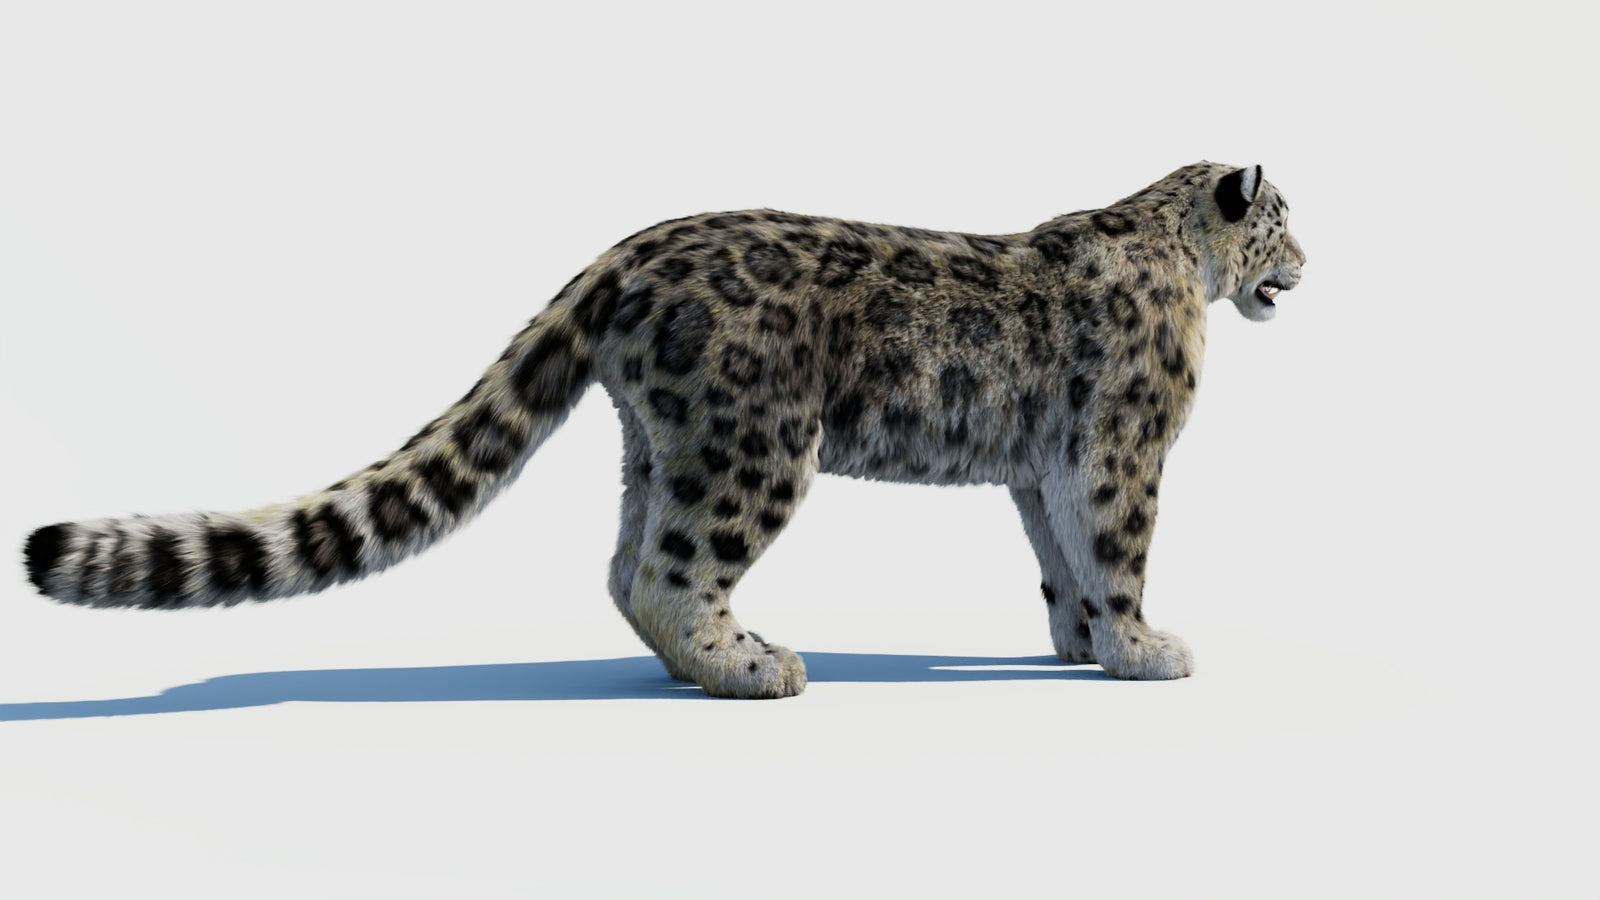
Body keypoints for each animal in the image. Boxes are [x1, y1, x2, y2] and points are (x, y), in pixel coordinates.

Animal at [22, 161, 1305, 699]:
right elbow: (1118, 550)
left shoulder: (1043, 467)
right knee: (671, 569)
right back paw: (752, 667)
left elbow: (1060, 562)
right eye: (1283, 218)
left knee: (624, 560)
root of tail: (625, 253)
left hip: (663, 445)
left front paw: (1082, 646)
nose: (1308, 263)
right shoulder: (1123, 447)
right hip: (755, 446)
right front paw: (1145, 650)